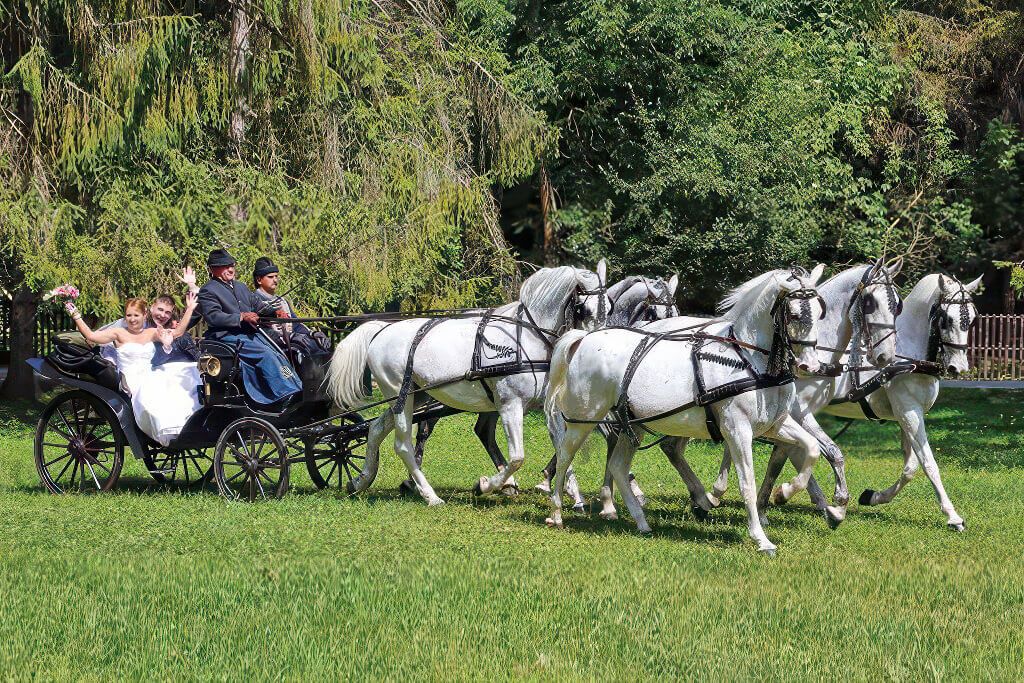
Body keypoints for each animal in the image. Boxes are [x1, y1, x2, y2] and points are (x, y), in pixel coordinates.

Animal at [325, 264, 606, 505]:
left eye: (608, 307)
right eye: (584, 310)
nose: (599, 346)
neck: (527, 336)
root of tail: (381, 330)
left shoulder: (548, 406)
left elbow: (564, 449)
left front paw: (574, 496)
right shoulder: (510, 404)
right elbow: (517, 458)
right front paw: (485, 486)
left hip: (414, 397)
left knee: (374, 429)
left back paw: (360, 481)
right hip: (400, 397)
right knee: (403, 445)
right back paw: (430, 495)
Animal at [548, 268, 827, 557]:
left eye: (820, 311)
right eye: (793, 313)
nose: (811, 366)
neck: (749, 359)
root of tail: (583, 339)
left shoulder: (775, 424)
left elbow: (812, 449)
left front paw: (784, 492)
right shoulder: (738, 428)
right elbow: (747, 483)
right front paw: (761, 539)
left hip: (632, 425)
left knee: (617, 466)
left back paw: (641, 521)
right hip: (585, 419)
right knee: (565, 454)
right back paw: (557, 512)